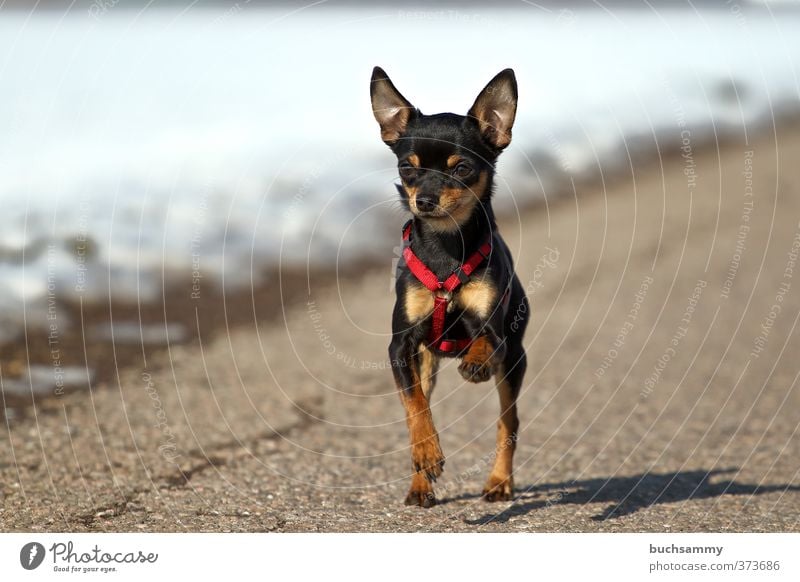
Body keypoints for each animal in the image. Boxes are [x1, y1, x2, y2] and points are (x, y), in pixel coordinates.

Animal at [370, 67, 532, 506]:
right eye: (407, 169)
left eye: (461, 169)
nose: (424, 200)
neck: (445, 248)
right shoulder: (401, 347)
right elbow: (415, 409)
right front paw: (427, 454)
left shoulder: (496, 332)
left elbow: (484, 340)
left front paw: (474, 361)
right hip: (426, 362)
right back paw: (420, 484)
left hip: (514, 362)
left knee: (508, 421)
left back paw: (499, 481)